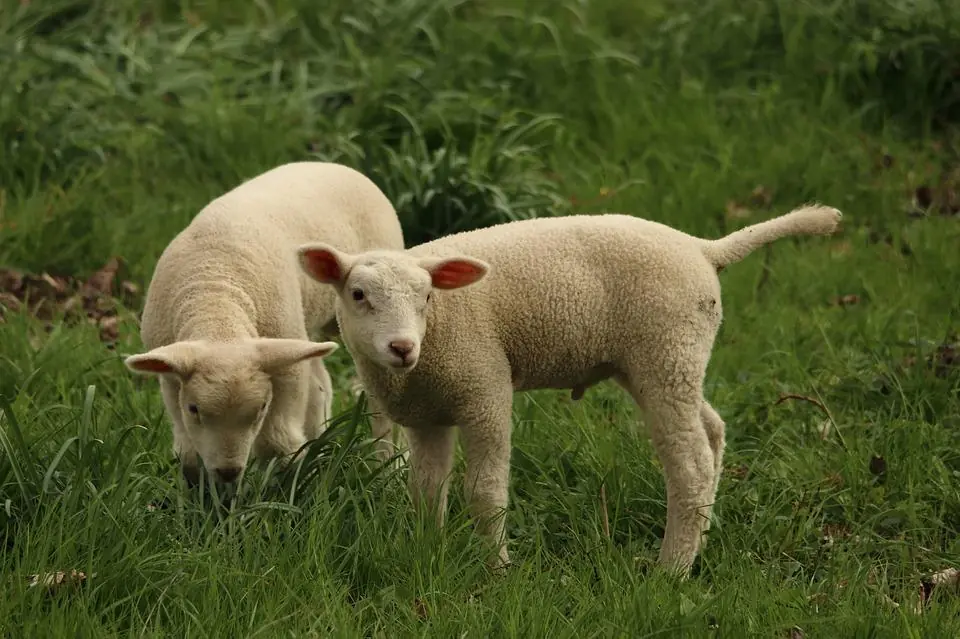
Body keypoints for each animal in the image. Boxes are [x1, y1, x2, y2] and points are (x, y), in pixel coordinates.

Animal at [124, 161, 407, 485]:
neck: (216, 299)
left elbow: (276, 441)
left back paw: (389, 465)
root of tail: (336, 165)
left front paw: (284, 486)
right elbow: (189, 450)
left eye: (260, 409)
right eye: (194, 409)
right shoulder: (172, 377)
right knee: (320, 381)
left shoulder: (286, 369)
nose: (229, 471)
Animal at [296, 203, 843, 575]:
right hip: (665, 363)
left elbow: (485, 491)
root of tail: (702, 248)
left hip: (667, 350)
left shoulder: (484, 387)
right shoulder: (428, 414)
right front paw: (427, 554)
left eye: (427, 297)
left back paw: (670, 570)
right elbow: (427, 491)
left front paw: (497, 570)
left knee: (689, 463)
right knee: (711, 431)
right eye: (358, 294)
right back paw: (698, 546)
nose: (402, 347)